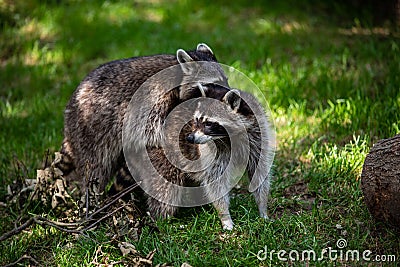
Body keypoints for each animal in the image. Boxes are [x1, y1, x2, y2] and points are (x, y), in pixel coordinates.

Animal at [57, 43, 230, 205]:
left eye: (225, 80)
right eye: (214, 83)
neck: (178, 73)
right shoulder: (156, 101)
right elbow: (158, 131)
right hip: (92, 130)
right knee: (96, 167)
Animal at [126, 85, 276, 230]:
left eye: (208, 123)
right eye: (196, 120)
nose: (190, 138)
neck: (229, 136)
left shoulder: (257, 134)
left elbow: (260, 171)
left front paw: (262, 208)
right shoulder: (214, 151)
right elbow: (215, 181)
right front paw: (225, 216)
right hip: (161, 156)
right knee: (165, 189)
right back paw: (162, 220)